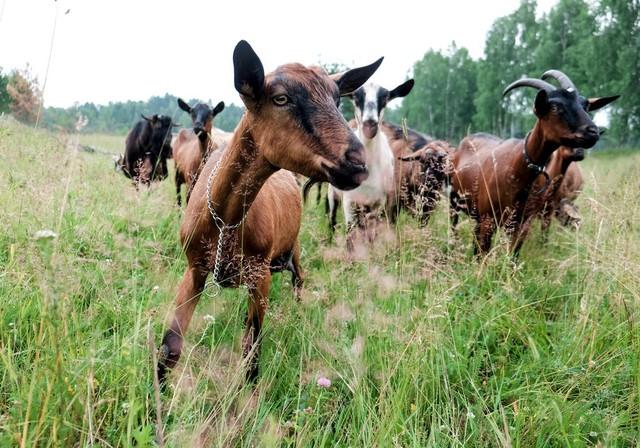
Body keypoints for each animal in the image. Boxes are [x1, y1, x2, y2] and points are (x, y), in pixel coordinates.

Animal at [158, 40, 382, 384]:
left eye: (337, 100)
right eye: (280, 98)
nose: (357, 163)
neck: (226, 219)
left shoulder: (259, 274)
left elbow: (251, 352)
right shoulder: (194, 268)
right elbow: (170, 348)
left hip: (293, 248)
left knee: (299, 280)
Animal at [448, 72, 616, 258]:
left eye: (585, 105)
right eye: (555, 107)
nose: (593, 132)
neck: (517, 169)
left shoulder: (522, 223)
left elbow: (513, 257)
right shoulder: (489, 219)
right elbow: (482, 254)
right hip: (455, 201)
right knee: (455, 228)